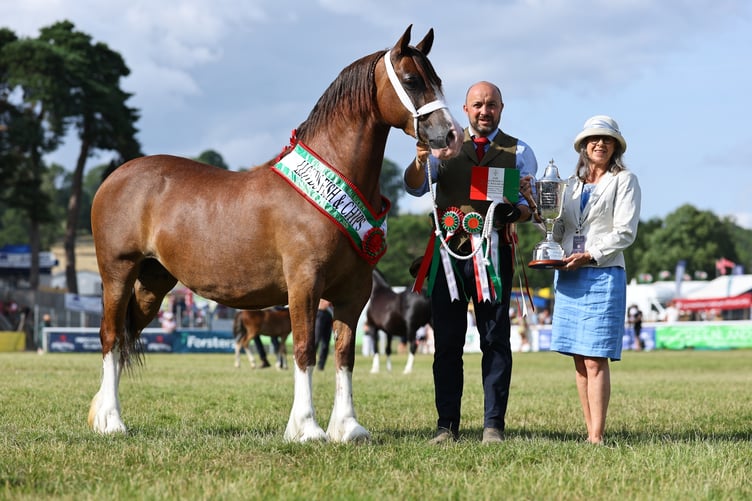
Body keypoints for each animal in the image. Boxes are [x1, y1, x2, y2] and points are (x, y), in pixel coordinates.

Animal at [88, 25, 461, 442]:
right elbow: (303, 349)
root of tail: (114, 178)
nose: (450, 135)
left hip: (154, 282)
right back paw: (112, 422)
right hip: (118, 274)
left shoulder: (353, 293)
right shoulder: (304, 283)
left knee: (124, 336)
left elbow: (344, 354)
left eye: (438, 80)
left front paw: (347, 427)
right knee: (109, 337)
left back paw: (105, 416)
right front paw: (307, 427)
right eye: (412, 80)